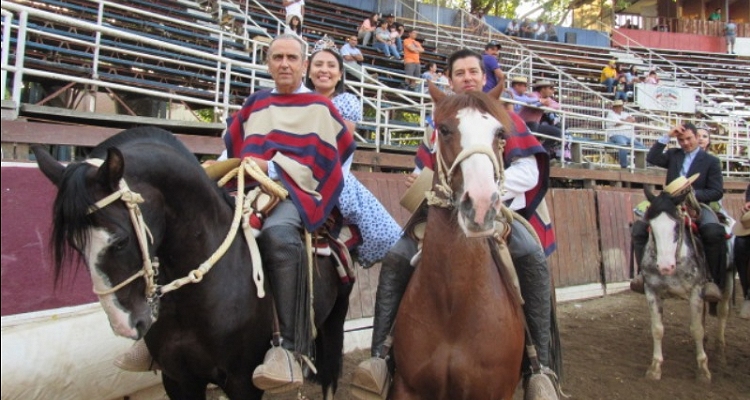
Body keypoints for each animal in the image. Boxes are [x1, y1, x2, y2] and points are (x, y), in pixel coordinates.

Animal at [33, 126, 352, 398]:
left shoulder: (242, 381)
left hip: (335, 319)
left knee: (330, 376)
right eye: (76, 244)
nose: (125, 325)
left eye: (120, 241)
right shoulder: (178, 379)